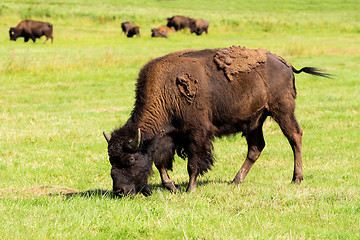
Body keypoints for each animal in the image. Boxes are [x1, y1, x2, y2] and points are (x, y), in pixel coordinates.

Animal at [102, 46, 330, 196]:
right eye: (111, 160)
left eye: (130, 160)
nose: (120, 191)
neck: (166, 92)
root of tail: (286, 64)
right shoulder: (169, 137)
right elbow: (160, 163)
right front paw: (172, 186)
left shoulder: (197, 133)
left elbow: (193, 163)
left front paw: (190, 189)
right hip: (255, 120)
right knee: (256, 147)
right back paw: (235, 181)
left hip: (282, 110)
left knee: (294, 136)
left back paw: (296, 178)